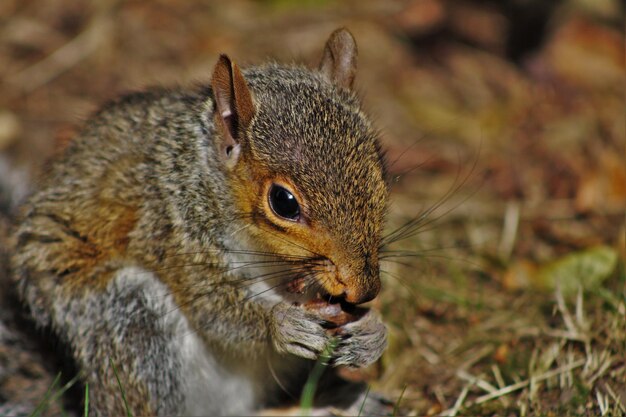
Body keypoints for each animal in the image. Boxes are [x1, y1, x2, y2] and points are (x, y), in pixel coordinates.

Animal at [9, 27, 390, 414]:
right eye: (283, 202)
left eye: (380, 172)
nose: (365, 288)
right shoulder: (169, 230)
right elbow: (212, 309)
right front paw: (279, 323)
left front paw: (372, 331)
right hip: (129, 321)